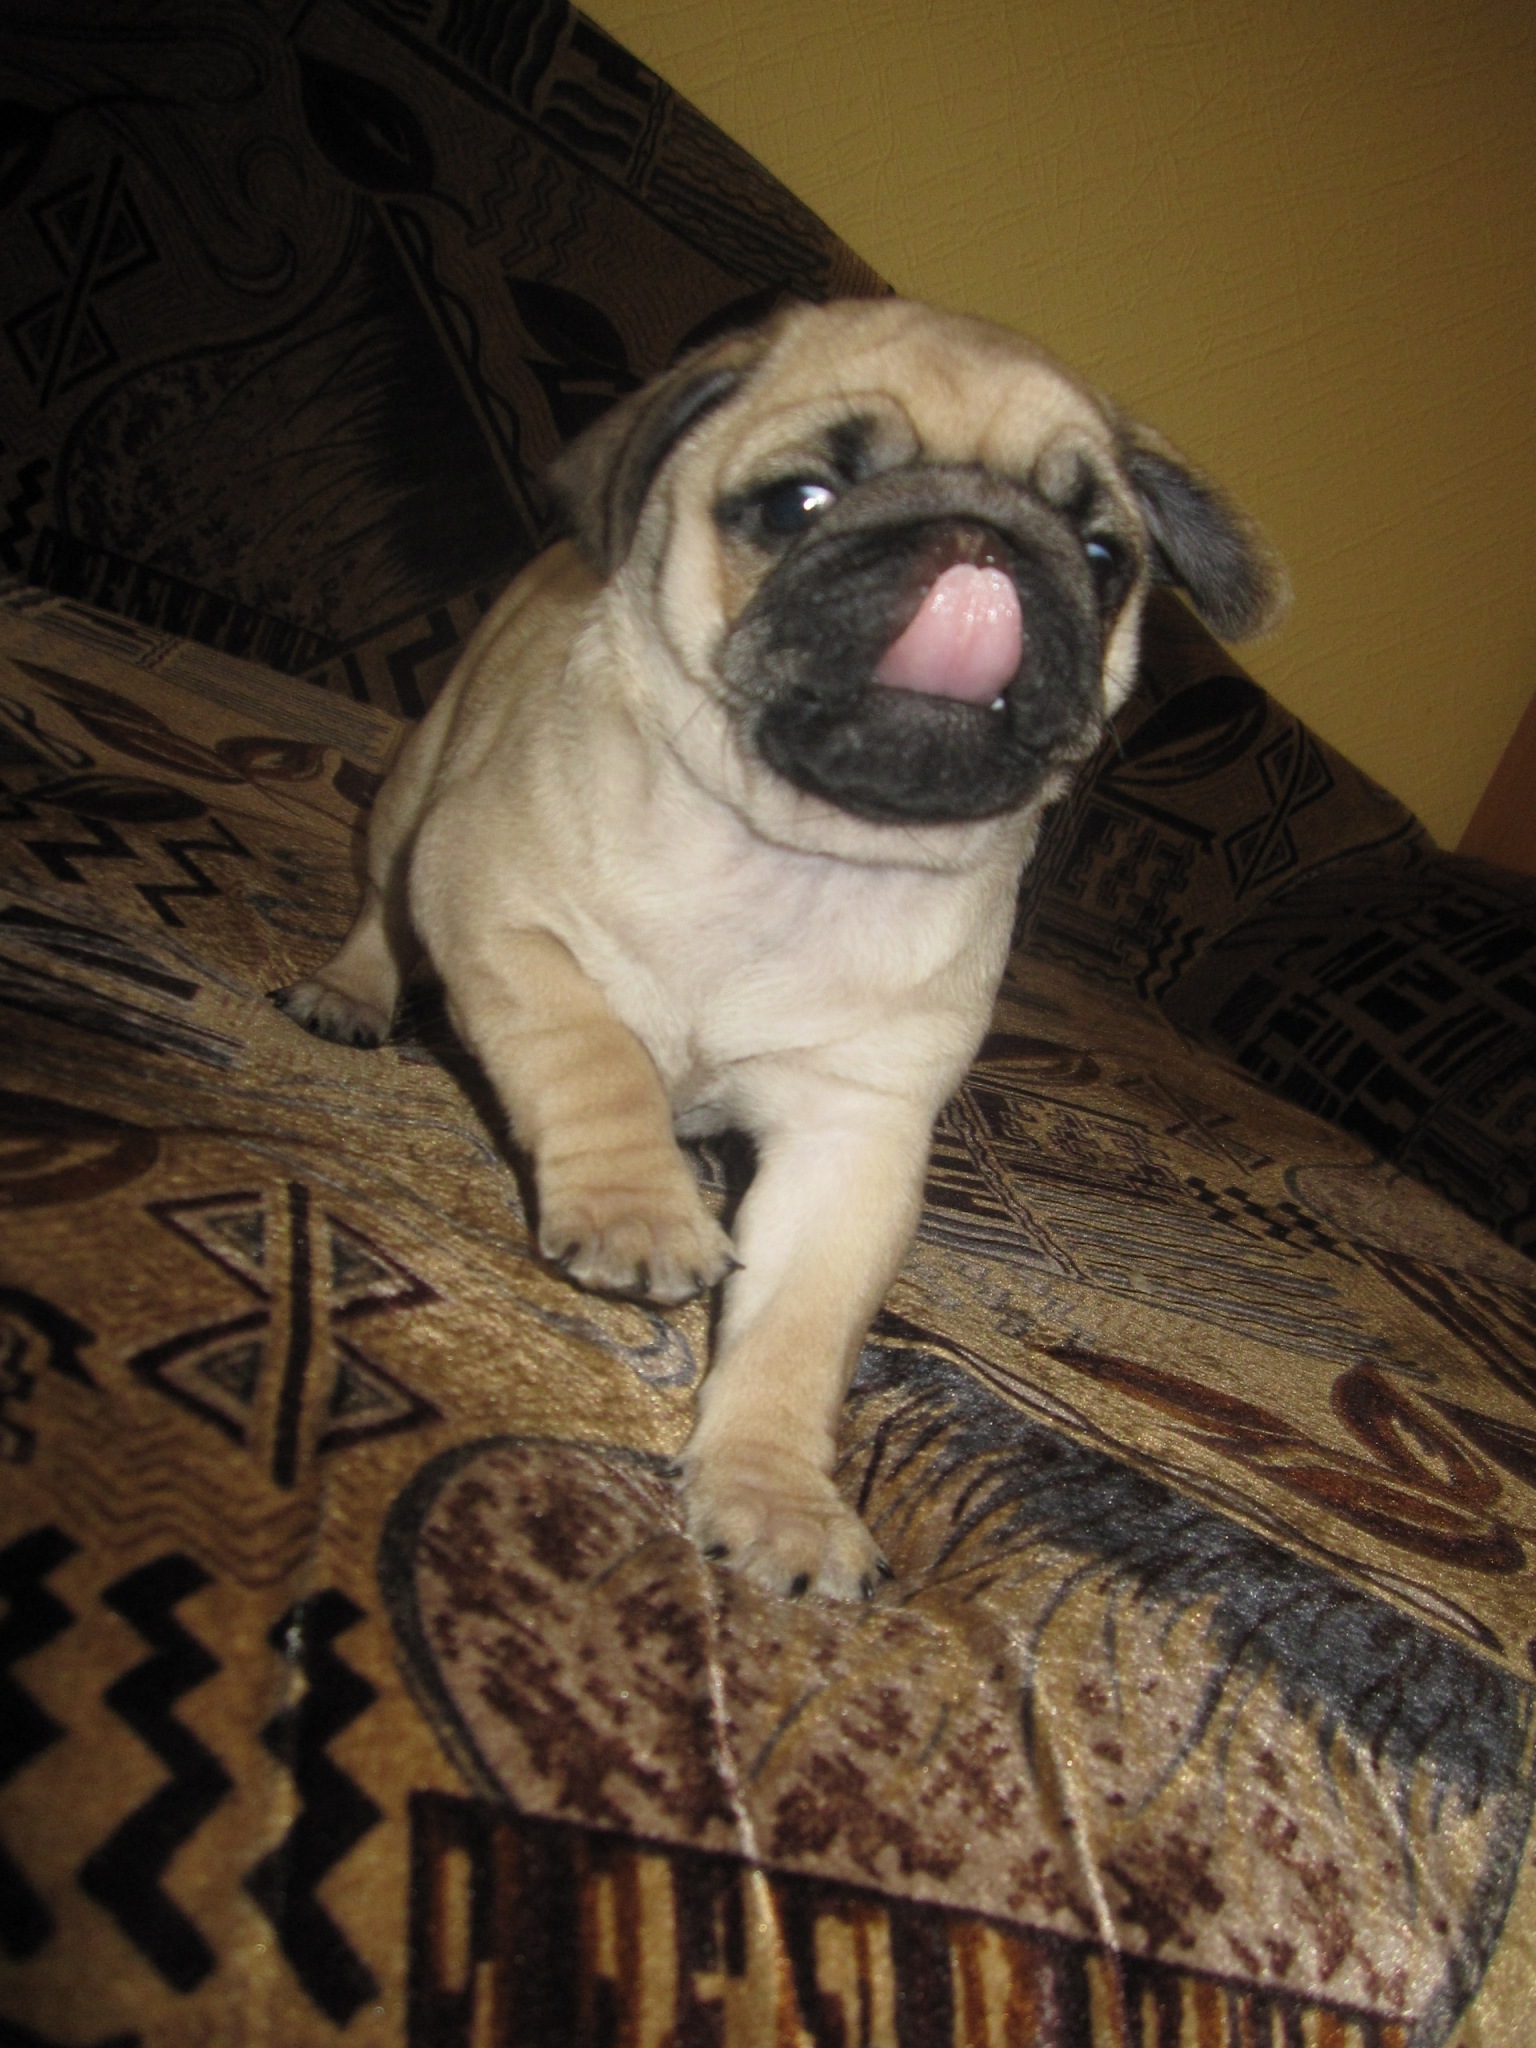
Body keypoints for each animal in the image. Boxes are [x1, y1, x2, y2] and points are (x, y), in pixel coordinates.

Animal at [276, 297, 1284, 1599]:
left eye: (1105, 557)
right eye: (801, 501)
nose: (980, 538)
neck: (795, 854)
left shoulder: (852, 1141)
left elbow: (800, 1333)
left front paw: (773, 1495)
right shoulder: (494, 909)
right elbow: (593, 1046)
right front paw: (641, 1209)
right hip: (411, 805)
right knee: (378, 913)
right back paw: (348, 993)